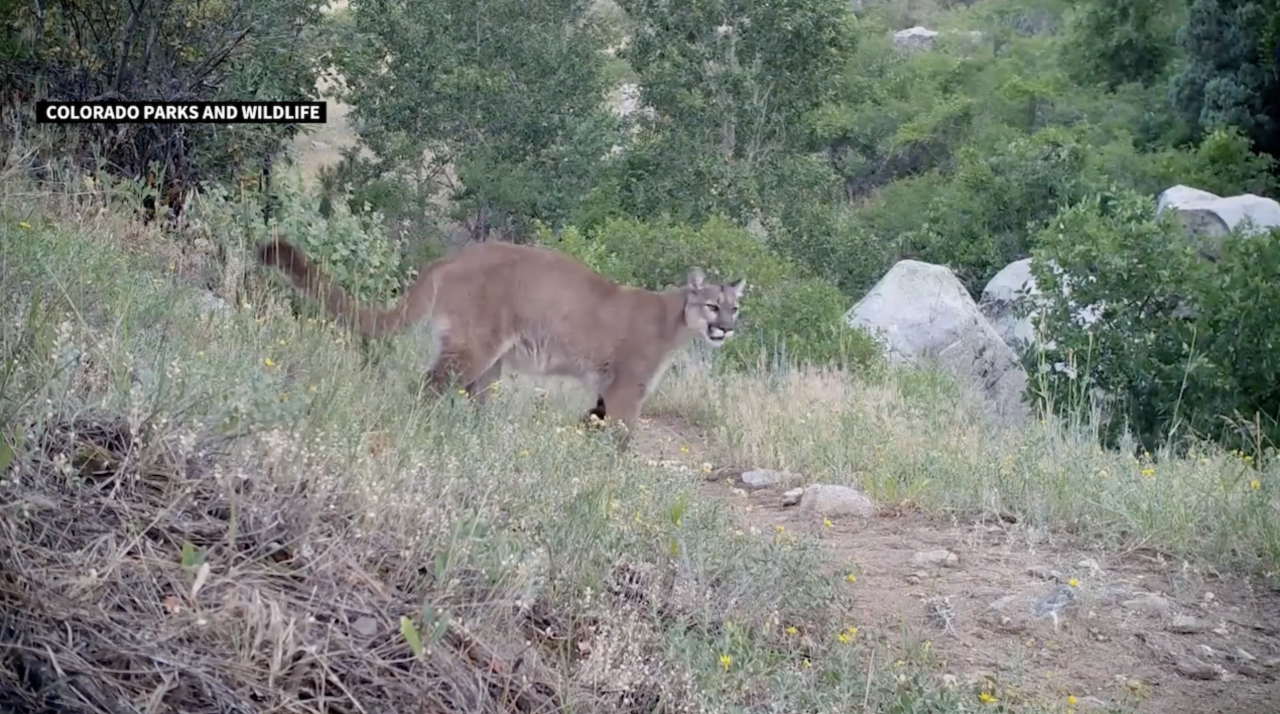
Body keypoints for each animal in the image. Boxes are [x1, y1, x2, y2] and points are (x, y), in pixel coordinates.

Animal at [255, 239, 745, 435]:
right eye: (712, 305)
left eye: (734, 306)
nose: (727, 327)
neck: (675, 321)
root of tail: (451, 257)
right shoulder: (627, 388)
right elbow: (623, 437)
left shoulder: (605, 390)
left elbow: (594, 423)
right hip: (474, 347)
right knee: (429, 386)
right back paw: (425, 429)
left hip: (490, 364)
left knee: (470, 398)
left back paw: (481, 436)